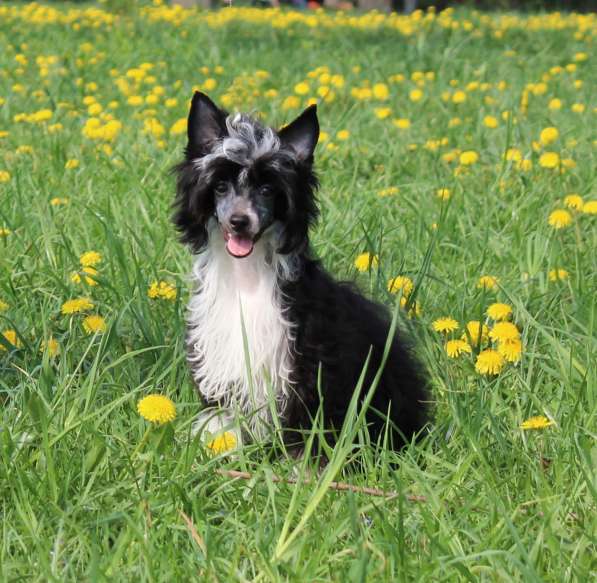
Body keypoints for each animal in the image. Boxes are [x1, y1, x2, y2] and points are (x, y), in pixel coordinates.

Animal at [172, 92, 428, 456]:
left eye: (268, 190)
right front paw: (217, 444)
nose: (239, 221)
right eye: (220, 186)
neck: (247, 276)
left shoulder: (310, 365)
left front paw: (309, 461)